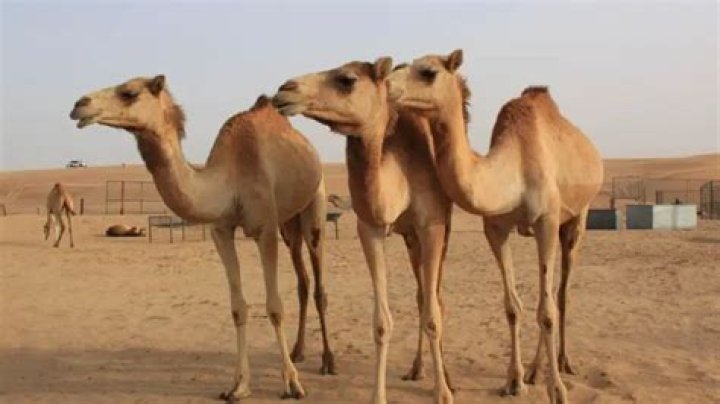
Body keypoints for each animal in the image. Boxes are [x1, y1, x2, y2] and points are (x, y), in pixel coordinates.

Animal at [69, 75, 336, 401]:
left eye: (129, 92)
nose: (79, 104)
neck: (229, 180)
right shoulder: (221, 230)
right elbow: (237, 307)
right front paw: (238, 386)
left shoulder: (265, 229)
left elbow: (274, 307)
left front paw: (293, 384)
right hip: (289, 223)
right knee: (303, 281)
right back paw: (298, 352)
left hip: (314, 206)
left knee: (319, 283)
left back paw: (328, 361)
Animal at [273, 58, 454, 404]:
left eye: (347, 79)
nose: (284, 89)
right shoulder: (370, 228)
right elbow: (382, 323)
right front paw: (379, 396)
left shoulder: (432, 227)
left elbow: (434, 315)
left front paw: (443, 393)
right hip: (406, 239)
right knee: (421, 295)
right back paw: (415, 369)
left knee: (434, 297)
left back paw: (442, 376)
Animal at [389, 50, 604, 403]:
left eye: (428, 72)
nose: (386, 85)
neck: (513, 170)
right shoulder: (496, 230)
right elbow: (512, 306)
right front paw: (513, 381)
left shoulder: (546, 222)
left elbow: (546, 311)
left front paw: (557, 390)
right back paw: (533, 371)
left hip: (576, 219)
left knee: (560, 294)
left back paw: (562, 363)